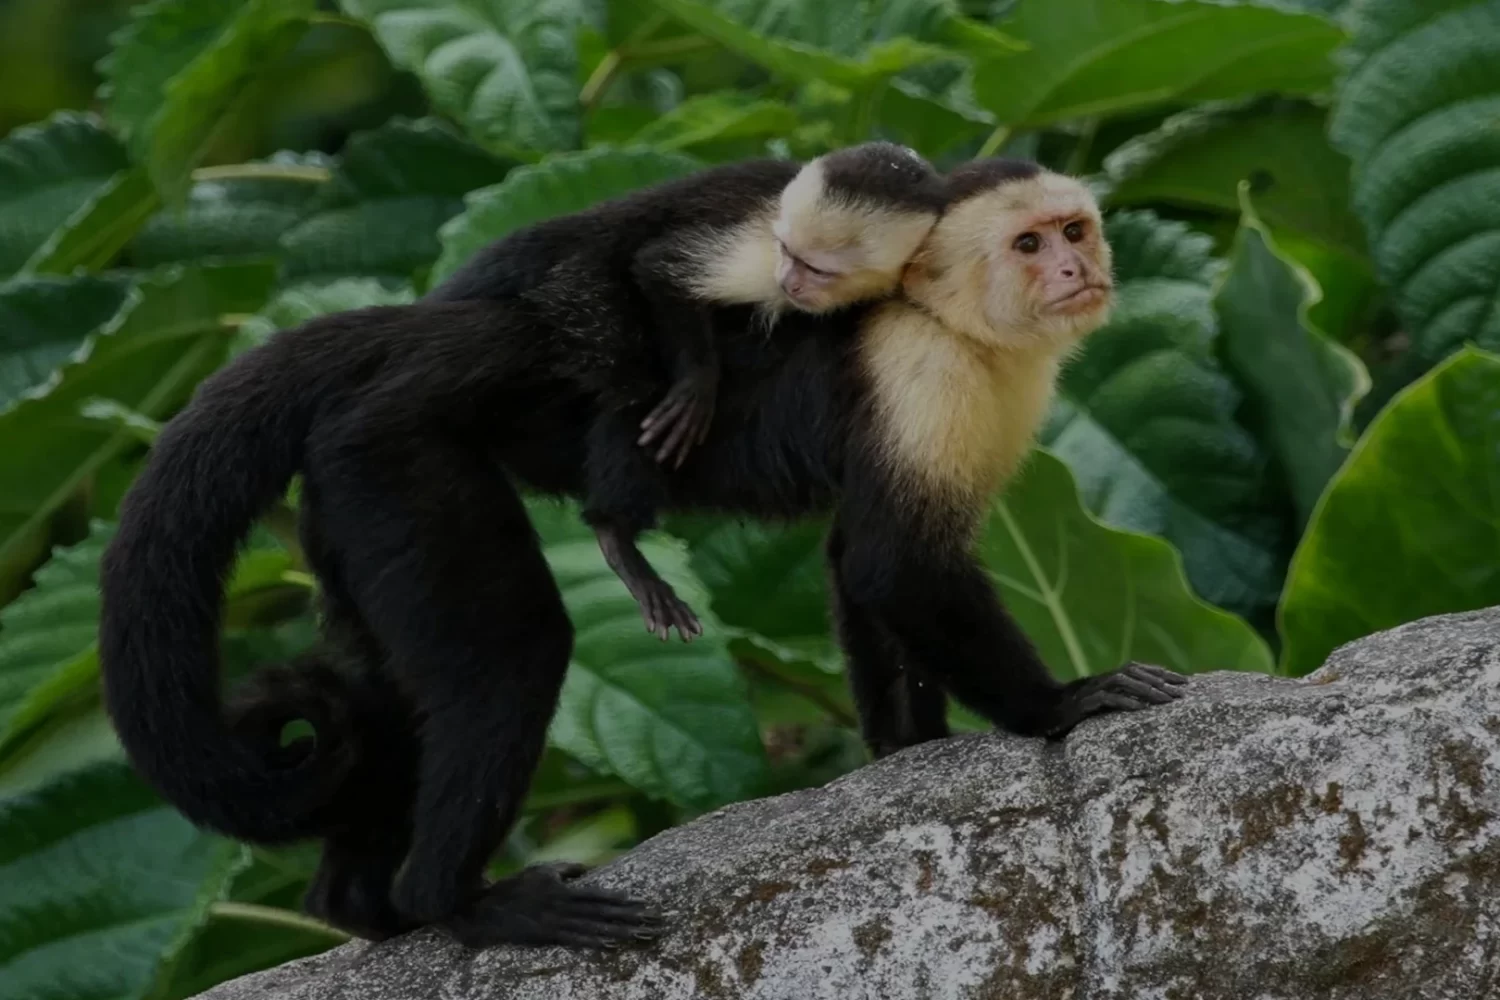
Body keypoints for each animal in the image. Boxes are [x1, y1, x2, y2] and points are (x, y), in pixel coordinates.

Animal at [429, 142, 947, 643]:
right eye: (787, 252)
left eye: (817, 269)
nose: (789, 282)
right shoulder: (760, 248)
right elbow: (659, 269)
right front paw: (698, 384)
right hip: (579, 285)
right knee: (634, 376)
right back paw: (616, 531)